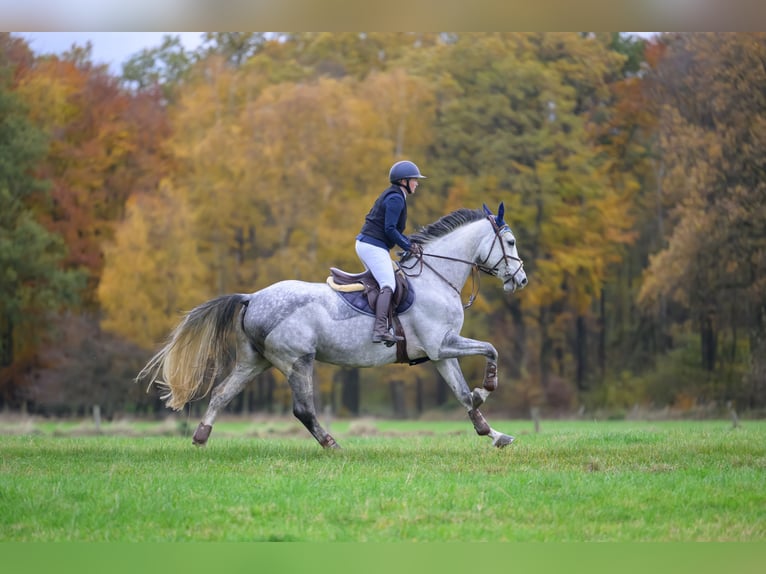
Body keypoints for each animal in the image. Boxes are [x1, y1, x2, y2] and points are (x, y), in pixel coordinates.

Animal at [137, 203, 527, 449]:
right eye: (509, 242)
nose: (521, 280)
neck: (436, 276)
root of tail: (253, 297)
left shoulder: (439, 352)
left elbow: (462, 394)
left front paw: (494, 434)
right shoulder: (442, 344)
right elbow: (491, 350)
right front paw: (487, 388)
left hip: (255, 361)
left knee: (221, 394)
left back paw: (201, 437)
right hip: (297, 360)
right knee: (303, 410)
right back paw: (331, 443)